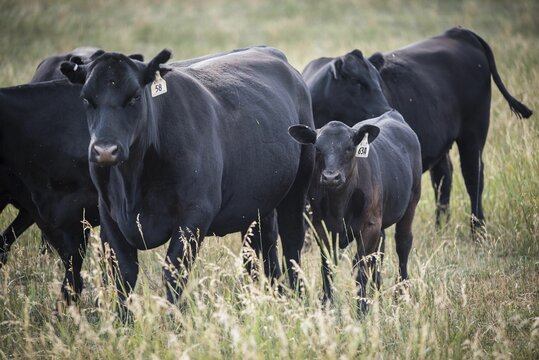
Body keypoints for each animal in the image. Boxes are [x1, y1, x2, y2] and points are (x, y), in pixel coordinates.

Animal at [292, 109, 422, 316]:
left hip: (411, 202)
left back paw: (400, 295)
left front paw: (362, 309)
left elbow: (360, 267)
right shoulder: (322, 228)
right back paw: (378, 293)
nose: (331, 177)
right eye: (318, 148)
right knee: (380, 252)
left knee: (403, 244)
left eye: (349, 147)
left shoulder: (369, 227)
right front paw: (327, 305)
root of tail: (392, 114)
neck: (339, 204)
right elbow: (327, 266)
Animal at [302, 27, 532, 231]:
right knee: (443, 177)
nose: (387, 109)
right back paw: (441, 229)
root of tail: (459, 32)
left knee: (473, 176)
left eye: (379, 81)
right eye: (356, 82)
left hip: (474, 133)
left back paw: (477, 231)